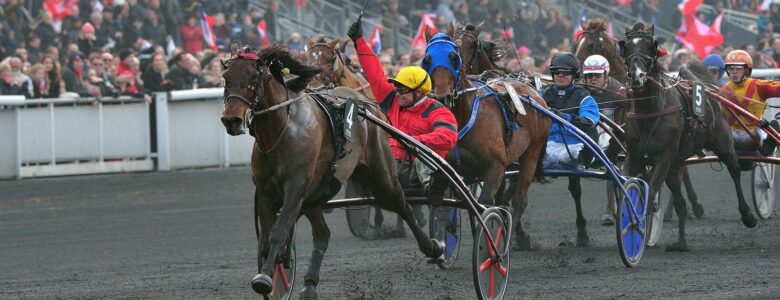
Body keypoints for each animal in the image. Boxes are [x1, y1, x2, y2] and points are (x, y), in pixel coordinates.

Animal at [218, 42, 444, 298]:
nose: (231, 119)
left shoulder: (295, 186)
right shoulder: (267, 192)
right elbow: (267, 241)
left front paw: (266, 278)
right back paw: (309, 285)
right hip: (316, 194)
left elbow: (278, 232)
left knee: (401, 203)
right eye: (226, 76)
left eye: (254, 76)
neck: (283, 129)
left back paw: (432, 246)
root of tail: (367, 106)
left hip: (381, 176)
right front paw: (275, 273)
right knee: (323, 233)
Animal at [424, 23, 552, 250]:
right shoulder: (449, 169)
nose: (442, 97)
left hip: (531, 153)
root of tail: (533, 92)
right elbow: (444, 205)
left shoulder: (495, 166)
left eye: (453, 56)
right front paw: (443, 241)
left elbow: (485, 206)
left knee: (519, 201)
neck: (465, 116)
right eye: (428, 58)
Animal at [620, 22, 752, 251]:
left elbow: (651, 191)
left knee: (734, 170)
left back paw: (747, 215)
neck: (650, 111)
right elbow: (626, 184)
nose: (636, 76)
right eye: (627, 46)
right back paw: (680, 242)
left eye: (650, 46)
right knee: (680, 201)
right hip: (676, 163)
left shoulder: (664, 157)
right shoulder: (634, 155)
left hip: (722, 143)